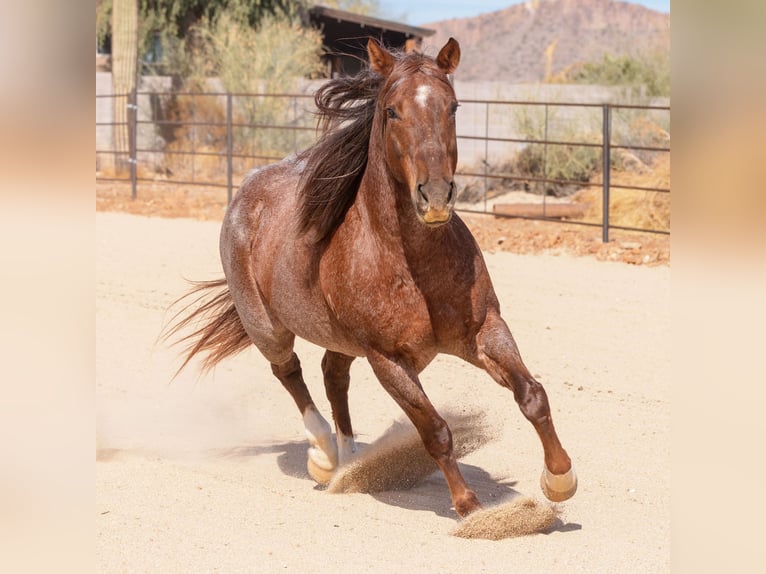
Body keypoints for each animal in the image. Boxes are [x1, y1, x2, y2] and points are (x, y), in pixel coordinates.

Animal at [168, 38, 576, 520]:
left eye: (453, 106)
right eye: (392, 111)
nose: (435, 197)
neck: (415, 266)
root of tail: (247, 190)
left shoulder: (485, 330)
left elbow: (532, 395)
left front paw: (559, 479)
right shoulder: (388, 360)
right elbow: (434, 429)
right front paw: (471, 508)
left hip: (341, 339)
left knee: (332, 375)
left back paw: (351, 460)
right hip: (266, 326)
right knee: (289, 371)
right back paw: (324, 455)